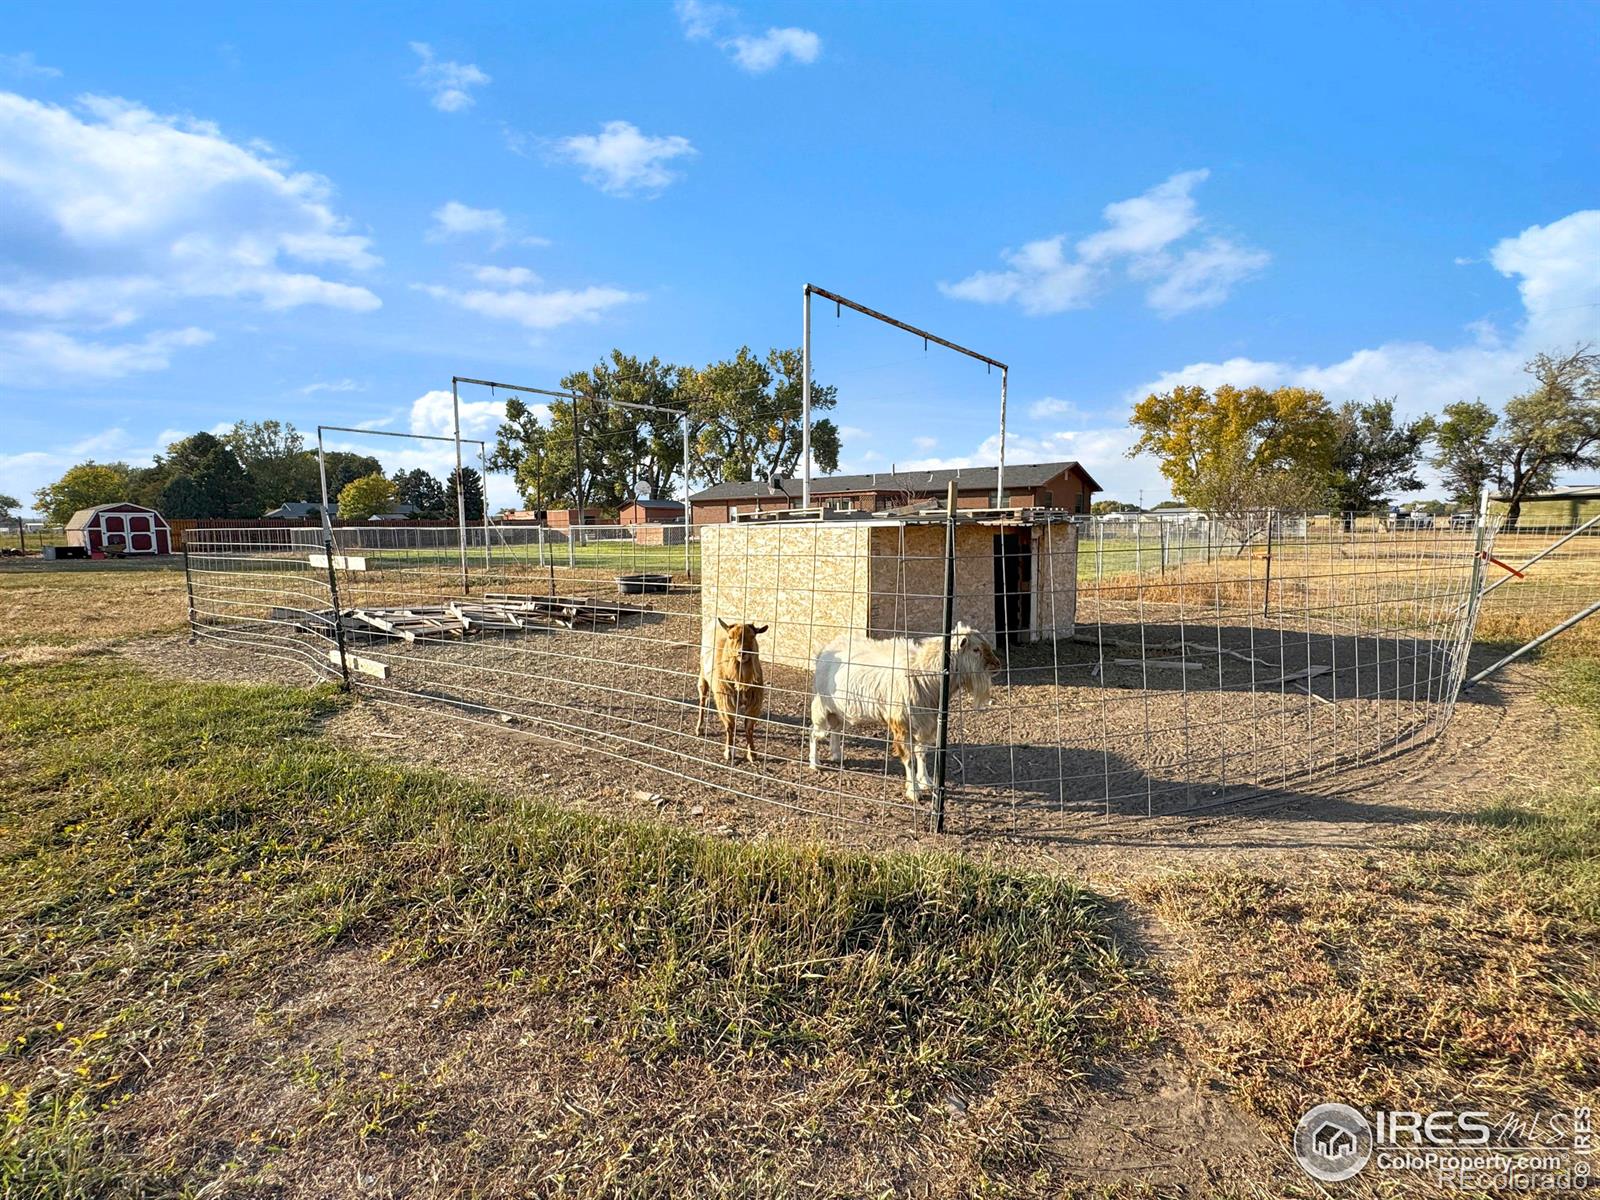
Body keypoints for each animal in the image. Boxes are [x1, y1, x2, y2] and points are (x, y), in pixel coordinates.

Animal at [694, 624, 768, 764]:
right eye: (730, 636)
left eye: (753, 636)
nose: (742, 653)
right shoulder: (725, 702)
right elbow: (729, 726)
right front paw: (728, 752)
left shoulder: (754, 704)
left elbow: (749, 728)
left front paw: (752, 754)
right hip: (703, 676)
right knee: (702, 700)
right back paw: (699, 728)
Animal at [812, 624, 998, 803]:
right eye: (976, 649)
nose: (997, 665)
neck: (924, 673)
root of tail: (828, 647)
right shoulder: (901, 725)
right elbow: (909, 759)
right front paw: (914, 791)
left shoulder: (926, 723)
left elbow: (922, 754)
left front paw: (926, 782)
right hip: (823, 705)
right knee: (815, 732)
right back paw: (815, 762)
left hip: (844, 711)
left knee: (836, 729)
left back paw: (836, 755)